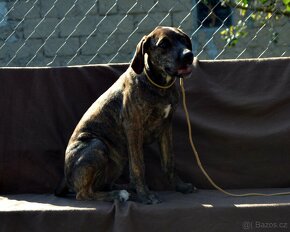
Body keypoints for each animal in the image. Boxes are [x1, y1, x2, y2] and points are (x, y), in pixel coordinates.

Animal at [55, 26, 194, 204]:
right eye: (163, 44)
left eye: (184, 40)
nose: (188, 55)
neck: (159, 85)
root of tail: (66, 178)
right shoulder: (133, 127)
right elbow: (138, 166)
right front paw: (145, 195)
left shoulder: (166, 127)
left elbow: (169, 162)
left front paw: (180, 186)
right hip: (97, 145)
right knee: (83, 193)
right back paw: (120, 194)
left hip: (117, 160)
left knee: (103, 185)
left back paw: (127, 189)